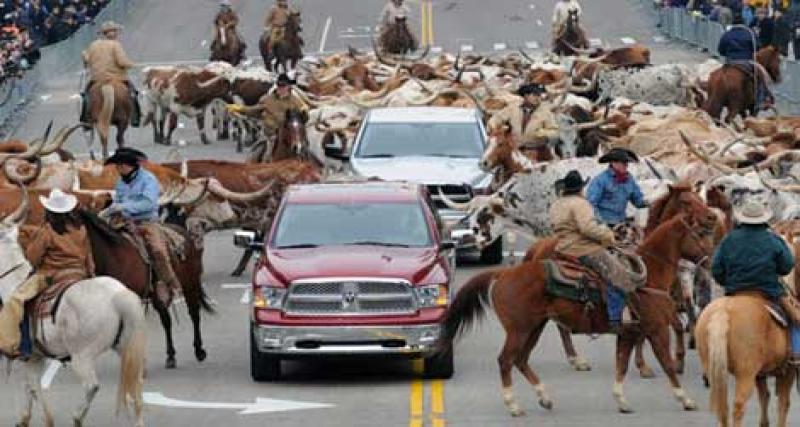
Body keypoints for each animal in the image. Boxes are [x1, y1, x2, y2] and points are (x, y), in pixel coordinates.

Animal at [0, 187, 147, 427]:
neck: (14, 281)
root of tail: (119, 297)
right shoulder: (36, 357)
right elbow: (30, 386)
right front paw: (24, 418)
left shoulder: (29, 356)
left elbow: (33, 387)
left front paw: (45, 419)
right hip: (128, 347)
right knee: (136, 385)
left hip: (82, 356)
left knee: (92, 386)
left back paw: (77, 416)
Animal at [77, 211, 216, 372]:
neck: (115, 257)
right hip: (157, 294)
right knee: (166, 321)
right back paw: (170, 356)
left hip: (190, 284)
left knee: (194, 314)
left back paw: (199, 350)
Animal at [440, 206, 716, 416]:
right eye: (700, 234)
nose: (711, 259)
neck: (649, 276)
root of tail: (503, 273)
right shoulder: (656, 330)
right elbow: (667, 365)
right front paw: (686, 399)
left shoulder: (628, 334)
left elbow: (621, 365)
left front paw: (621, 400)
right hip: (519, 330)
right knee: (506, 360)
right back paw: (514, 405)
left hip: (534, 327)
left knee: (521, 359)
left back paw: (544, 397)